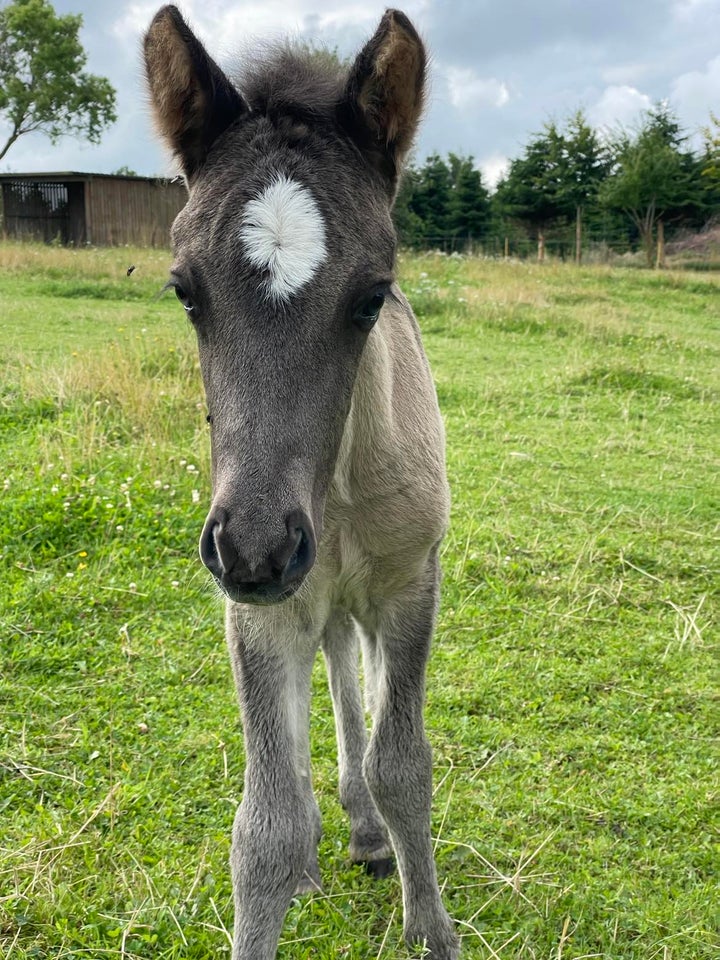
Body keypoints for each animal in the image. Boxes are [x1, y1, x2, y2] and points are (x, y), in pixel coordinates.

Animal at [146, 7, 458, 960]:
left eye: (372, 297)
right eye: (185, 292)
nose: (256, 547)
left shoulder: (410, 584)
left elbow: (405, 767)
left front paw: (431, 926)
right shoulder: (258, 614)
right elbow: (268, 828)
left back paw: (368, 831)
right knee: (336, 660)